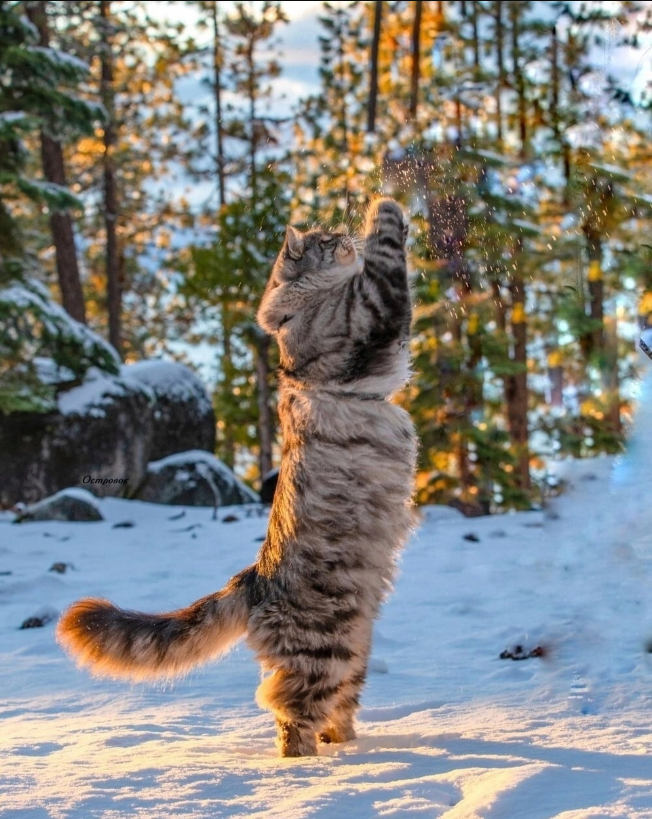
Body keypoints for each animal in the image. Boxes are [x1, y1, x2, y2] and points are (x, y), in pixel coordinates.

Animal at [56, 195, 416, 760]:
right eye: (327, 238)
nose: (343, 234)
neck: (299, 311)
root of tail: (254, 579)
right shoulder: (372, 311)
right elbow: (386, 262)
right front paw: (386, 205)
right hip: (324, 648)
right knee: (291, 715)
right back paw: (311, 769)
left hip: (355, 649)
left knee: (334, 708)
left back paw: (350, 749)